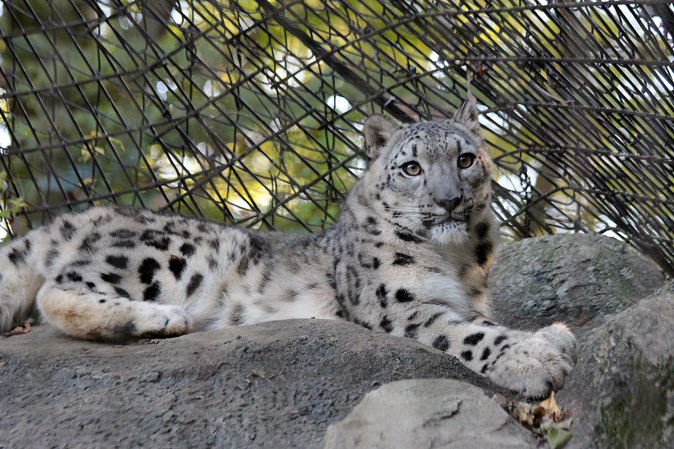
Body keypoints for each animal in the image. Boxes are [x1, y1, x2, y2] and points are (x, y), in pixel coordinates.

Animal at [1, 97, 572, 396]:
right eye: (412, 167)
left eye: (466, 159)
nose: (450, 199)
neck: (456, 259)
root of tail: (84, 215)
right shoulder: (398, 304)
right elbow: (466, 333)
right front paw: (539, 355)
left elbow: (483, 321)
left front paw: (548, 338)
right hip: (168, 252)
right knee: (56, 289)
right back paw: (158, 318)